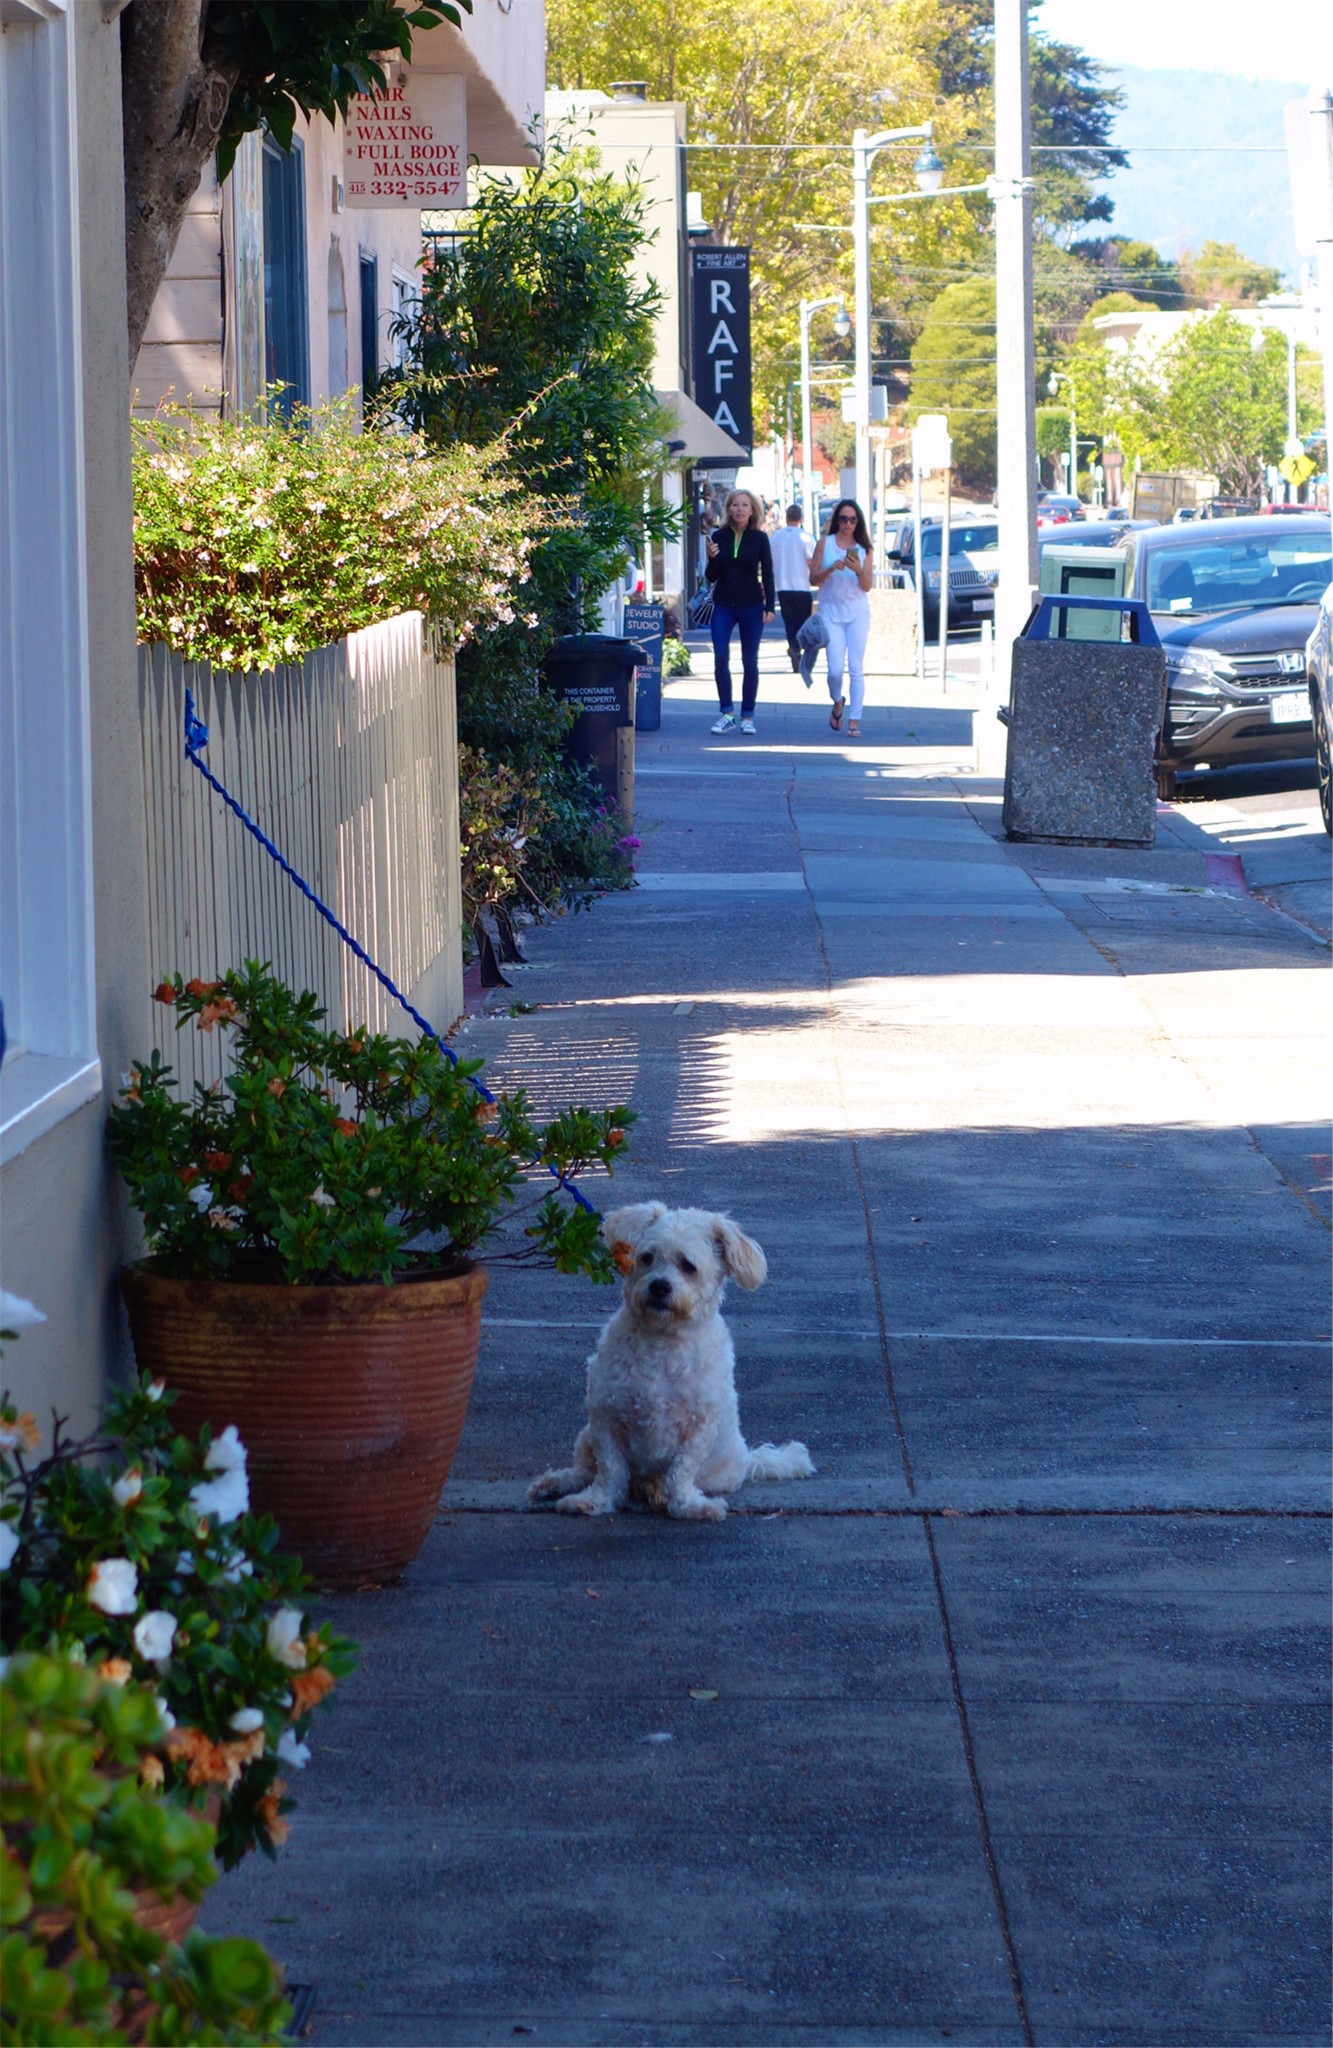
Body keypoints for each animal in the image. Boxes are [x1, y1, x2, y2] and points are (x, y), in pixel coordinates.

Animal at [532, 1196, 814, 1523]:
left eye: (688, 1266)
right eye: (646, 1258)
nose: (659, 1286)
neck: (663, 1341)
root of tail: (746, 1457)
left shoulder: (699, 1427)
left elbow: (681, 1472)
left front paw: (689, 1505)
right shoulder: (606, 1417)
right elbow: (610, 1470)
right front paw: (596, 1501)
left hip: (721, 1473)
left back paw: (654, 1489)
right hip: (586, 1437)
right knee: (584, 1469)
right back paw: (556, 1482)